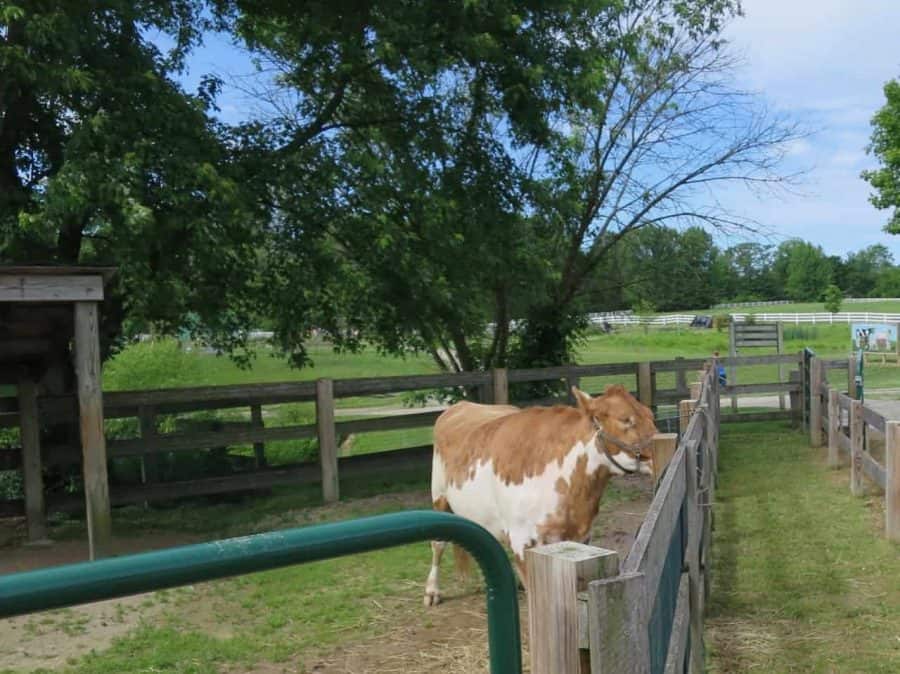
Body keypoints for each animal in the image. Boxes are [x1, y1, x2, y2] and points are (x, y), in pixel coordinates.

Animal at [422, 384, 652, 604]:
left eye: (649, 414)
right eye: (625, 420)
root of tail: (461, 405)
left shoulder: (581, 537)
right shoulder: (522, 540)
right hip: (439, 495)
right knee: (437, 544)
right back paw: (432, 591)